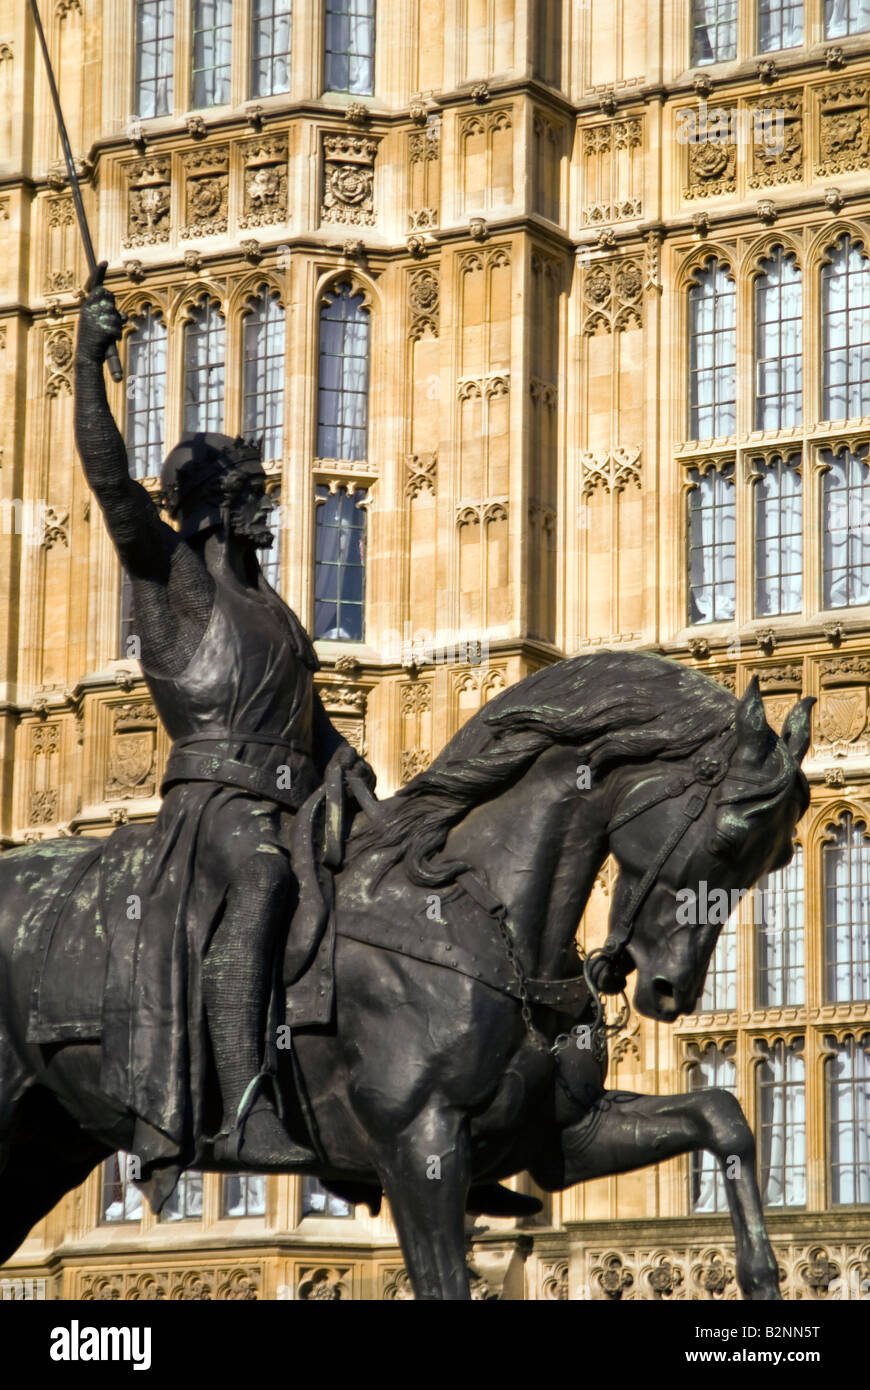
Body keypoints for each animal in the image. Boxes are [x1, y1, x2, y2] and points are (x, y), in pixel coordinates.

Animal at [0, 653, 811, 1301]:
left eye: (775, 860)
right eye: (731, 837)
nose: (670, 990)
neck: (474, 918)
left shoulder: (556, 1136)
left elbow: (721, 1113)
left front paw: (762, 1276)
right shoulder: (419, 1147)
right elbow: (445, 1282)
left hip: (47, 1141)